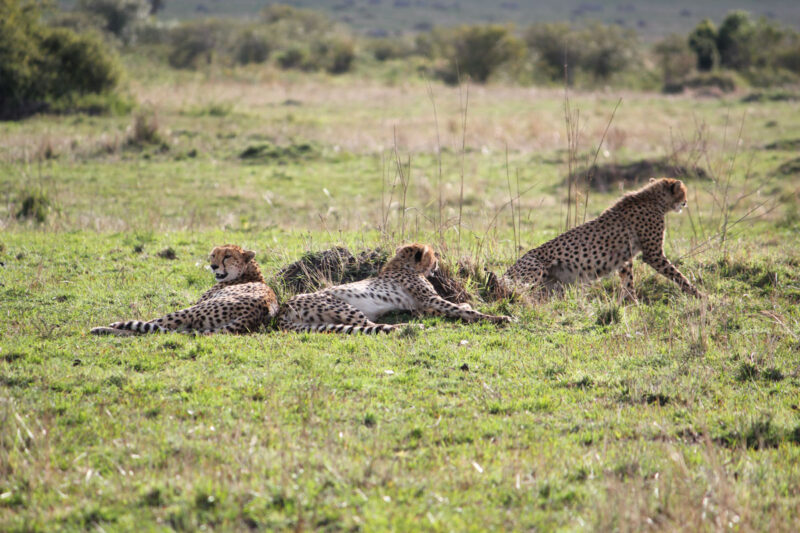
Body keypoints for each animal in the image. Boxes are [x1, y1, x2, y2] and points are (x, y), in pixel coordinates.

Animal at [89, 243, 278, 334]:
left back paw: (103, 328)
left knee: (151, 326)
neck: (248, 272)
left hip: (192, 311)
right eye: (213, 255)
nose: (213, 266)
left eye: (227, 256)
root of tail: (253, 315)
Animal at [276, 243, 512, 334]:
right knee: (373, 326)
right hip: (342, 306)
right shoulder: (429, 300)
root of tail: (282, 309)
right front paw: (499, 318)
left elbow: (456, 307)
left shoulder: (421, 305)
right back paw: (410, 327)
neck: (402, 264)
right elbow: (464, 310)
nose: (438, 263)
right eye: (433, 255)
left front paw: (465, 305)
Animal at [490, 178, 704, 300]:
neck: (653, 199)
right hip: (536, 269)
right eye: (683, 192)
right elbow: (678, 275)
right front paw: (700, 296)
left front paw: (631, 303)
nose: (685, 202)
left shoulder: (624, 258)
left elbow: (628, 281)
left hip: (554, 284)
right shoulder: (653, 254)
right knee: (517, 289)